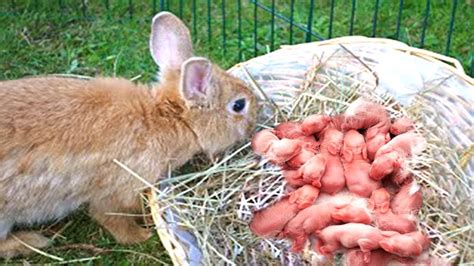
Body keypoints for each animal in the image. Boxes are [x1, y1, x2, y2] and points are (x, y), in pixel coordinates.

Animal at [0, 11, 258, 258]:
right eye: (238, 106)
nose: (253, 126)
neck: (166, 117)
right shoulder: (119, 189)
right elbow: (113, 219)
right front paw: (142, 236)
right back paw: (32, 242)